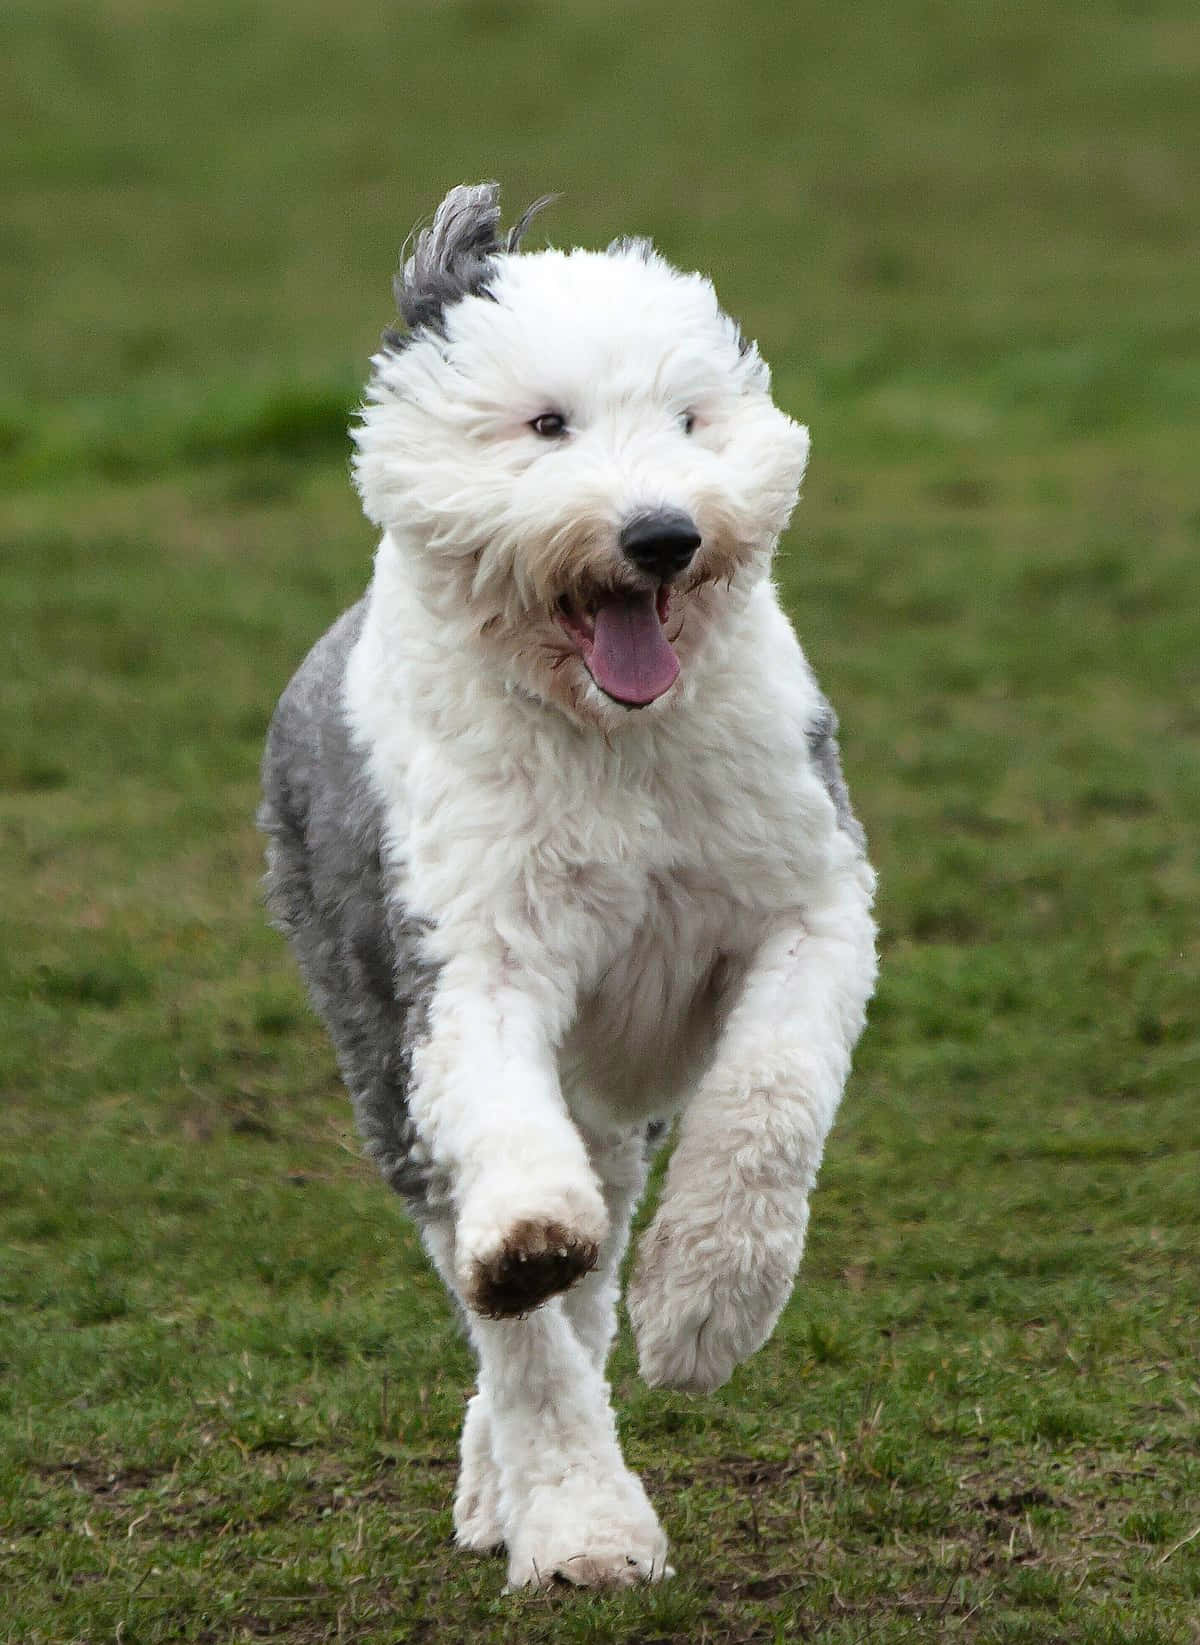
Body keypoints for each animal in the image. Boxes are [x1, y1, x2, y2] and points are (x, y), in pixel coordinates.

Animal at [261, 186, 875, 1585]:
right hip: (380, 1050)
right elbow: (510, 1184)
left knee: (588, 1290)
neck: (611, 746)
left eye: (692, 419)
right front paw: (534, 1248)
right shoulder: (463, 956)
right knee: (523, 1318)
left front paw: (706, 1310)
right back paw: (574, 1520)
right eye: (546, 424)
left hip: (607, 1096)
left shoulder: (811, 905)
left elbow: (769, 1099)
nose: (661, 534)